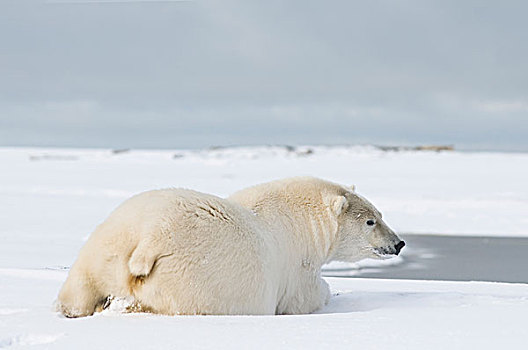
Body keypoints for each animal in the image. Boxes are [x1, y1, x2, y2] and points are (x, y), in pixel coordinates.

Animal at [55, 178, 404, 318]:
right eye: (371, 221)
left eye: (379, 214)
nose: (398, 243)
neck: (304, 218)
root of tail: (152, 237)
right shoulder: (294, 267)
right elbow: (306, 296)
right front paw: (331, 291)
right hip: (194, 283)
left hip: (111, 241)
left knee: (80, 288)